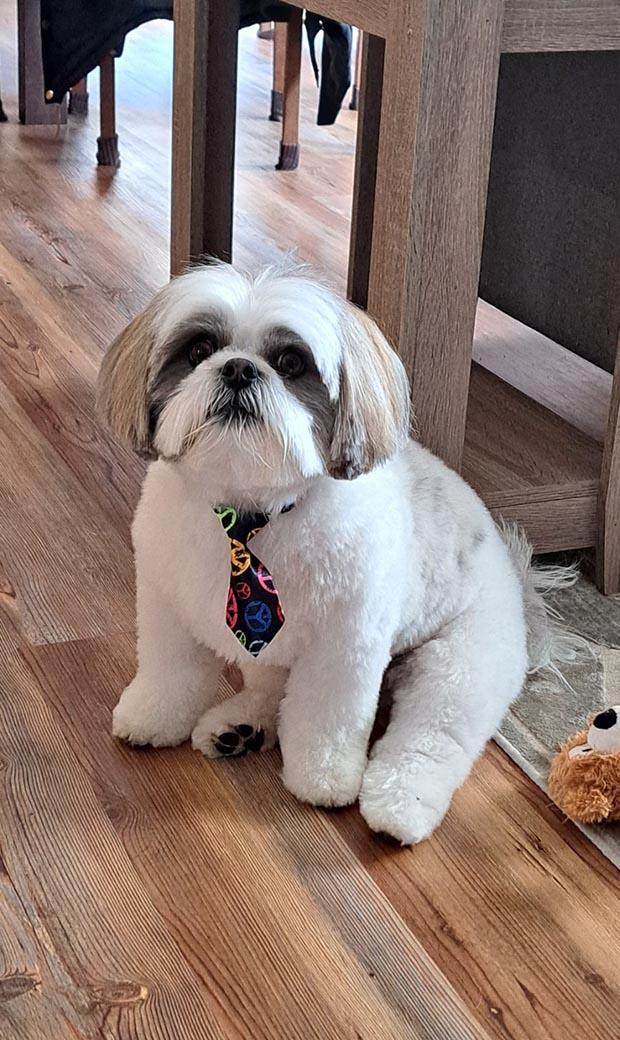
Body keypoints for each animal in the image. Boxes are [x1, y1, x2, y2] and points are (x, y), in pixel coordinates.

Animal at [98, 260, 578, 844]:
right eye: (199, 349)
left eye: (290, 363)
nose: (238, 369)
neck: (249, 518)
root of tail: (519, 580)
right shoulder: (167, 605)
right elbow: (170, 672)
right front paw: (152, 717)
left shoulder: (344, 646)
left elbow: (326, 719)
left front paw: (322, 779)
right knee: (271, 688)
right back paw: (239, 728)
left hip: (460, 666)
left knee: (430, 738)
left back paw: (400, 804)